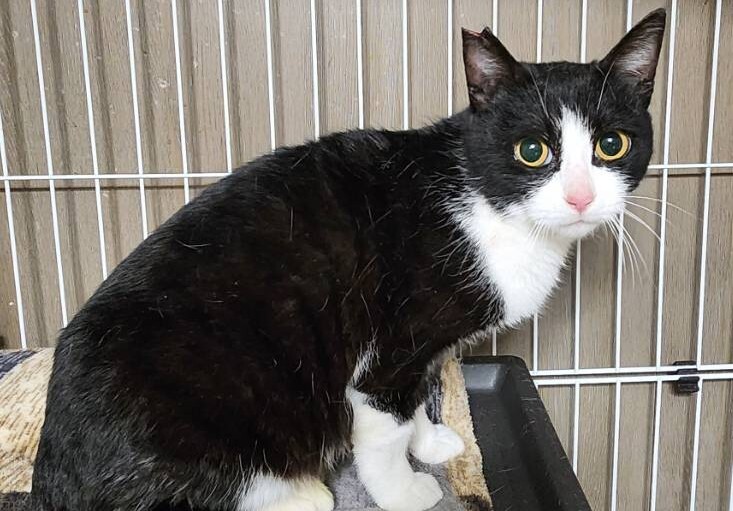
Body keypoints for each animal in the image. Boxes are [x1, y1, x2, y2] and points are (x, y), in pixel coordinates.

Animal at [31, 8, 665, 511]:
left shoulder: (426, 348)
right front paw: (405, 491)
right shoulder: (391, 343)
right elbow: (384, 423)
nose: (580, 197)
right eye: (532, 151)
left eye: (612, 145)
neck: (491, 207)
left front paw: (432, 441)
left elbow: (423, 390)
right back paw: (299, 494)